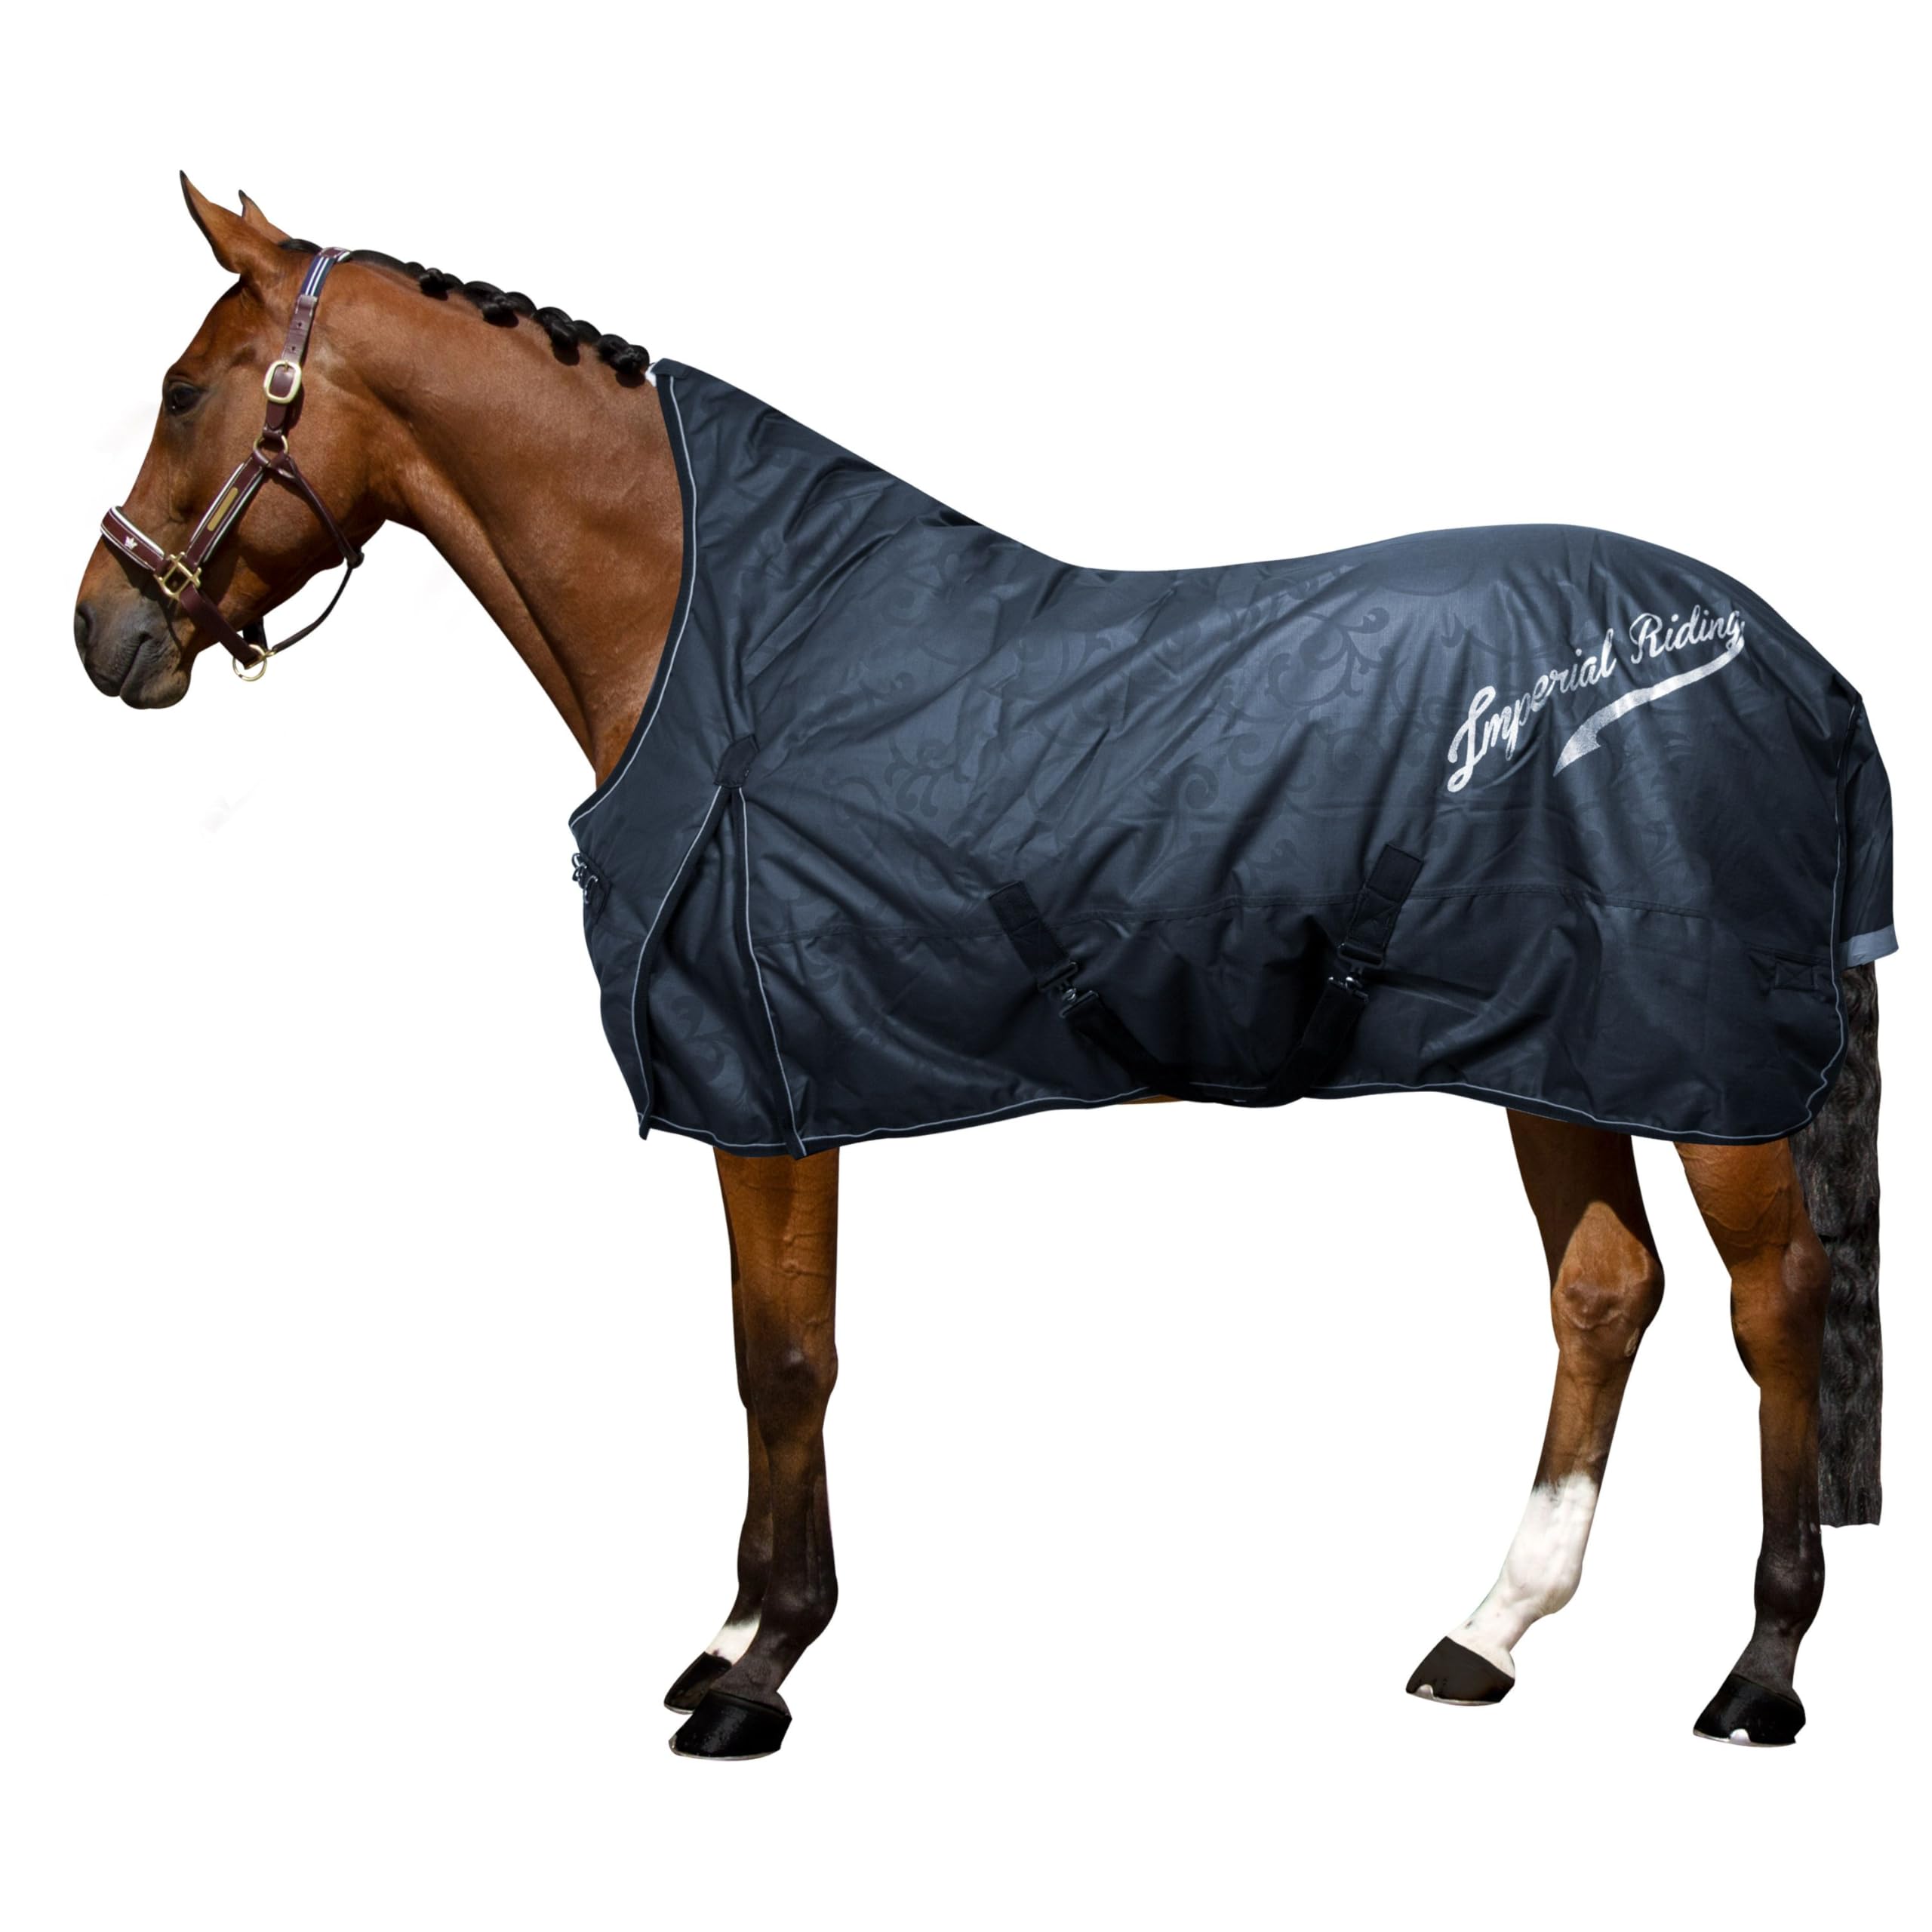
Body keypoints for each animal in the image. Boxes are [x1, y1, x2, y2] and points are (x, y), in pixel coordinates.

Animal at [75, 180, 1887, 1760]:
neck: (726, 652)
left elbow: (788, 1360)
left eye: (184, 390)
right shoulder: (771, 1093)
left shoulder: (772, 1090)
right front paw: (729, 1642)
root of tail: (1797, 666)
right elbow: (764, 1349)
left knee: (1774, 1302)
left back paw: (1759, 1669)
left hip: (1699, 1068)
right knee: (1604, 1293)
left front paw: (762, 1672)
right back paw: (1485, 1633)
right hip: (1556, 1046)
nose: (104, 631)